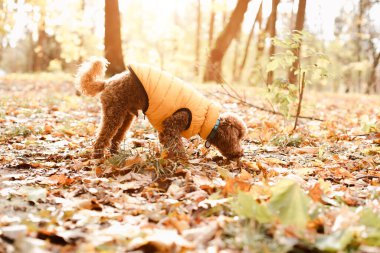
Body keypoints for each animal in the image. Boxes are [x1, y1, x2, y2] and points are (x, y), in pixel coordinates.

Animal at [75, 58, 246, 159]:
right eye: (238, 138)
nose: (241, 154)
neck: (207, 119)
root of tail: (108, 82)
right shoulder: (173, 125)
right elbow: (177, 146)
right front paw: (182, 162)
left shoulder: (165, 131)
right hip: (114, 113)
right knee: (103, 136)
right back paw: (98, 156)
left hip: (126, 117)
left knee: (117, 136)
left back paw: (115, 153)